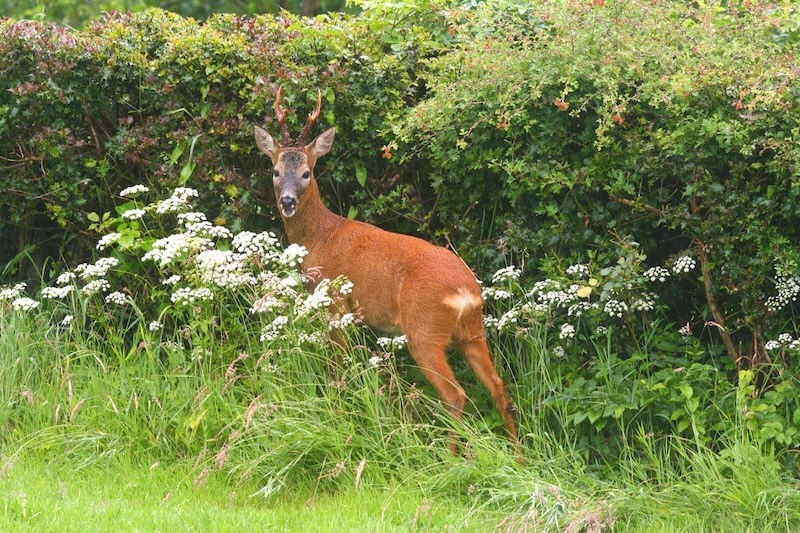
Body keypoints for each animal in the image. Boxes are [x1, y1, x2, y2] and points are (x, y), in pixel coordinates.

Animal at [253, 88, 518, 449]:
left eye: (307, 173)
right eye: (276, 172)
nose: (288, 202)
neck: (321, 235)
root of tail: (467, 293)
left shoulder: (336, 304)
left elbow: (338, 366)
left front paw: (337, 411)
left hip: (424, 330)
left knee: (456, 394)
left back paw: (451, 455)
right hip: (473, 331)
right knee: (499, 387)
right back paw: (518, 453)